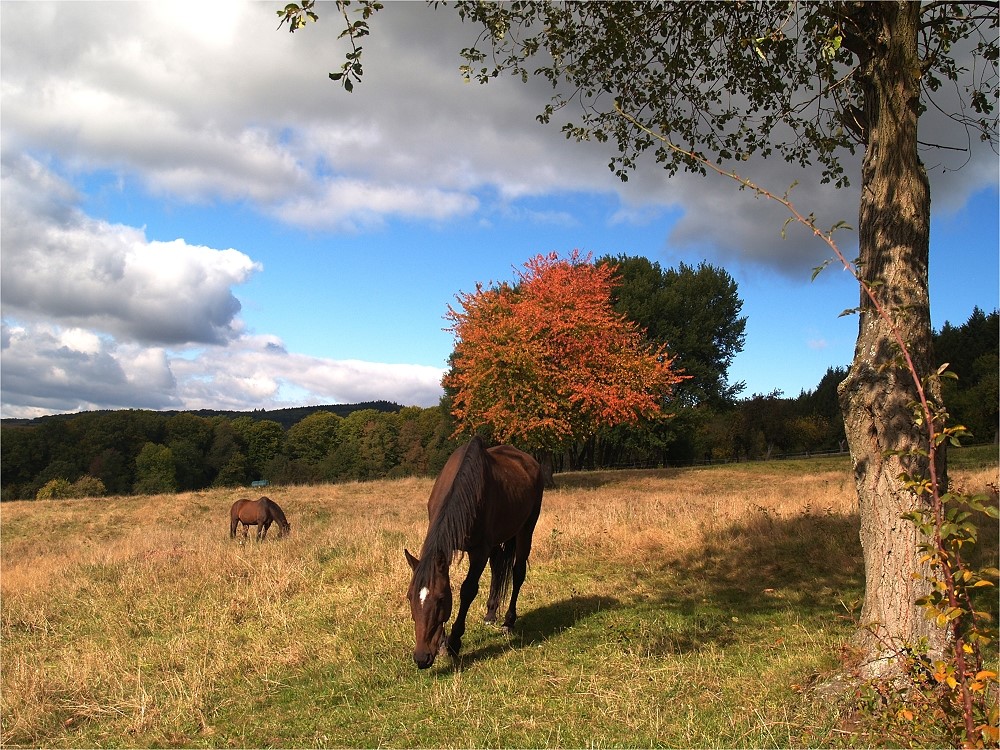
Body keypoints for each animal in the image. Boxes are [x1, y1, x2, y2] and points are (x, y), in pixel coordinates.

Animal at [402, 434, 544, 668]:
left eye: (441, 599)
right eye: (409, 597)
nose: (422, 658)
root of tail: (530, 461)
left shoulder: (479, 551)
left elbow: (468, 590)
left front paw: (453, 642)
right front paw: (442, 642)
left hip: (526, 529)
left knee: (518, 573)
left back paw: (508, 621)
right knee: (497, 568)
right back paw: (491, 614)